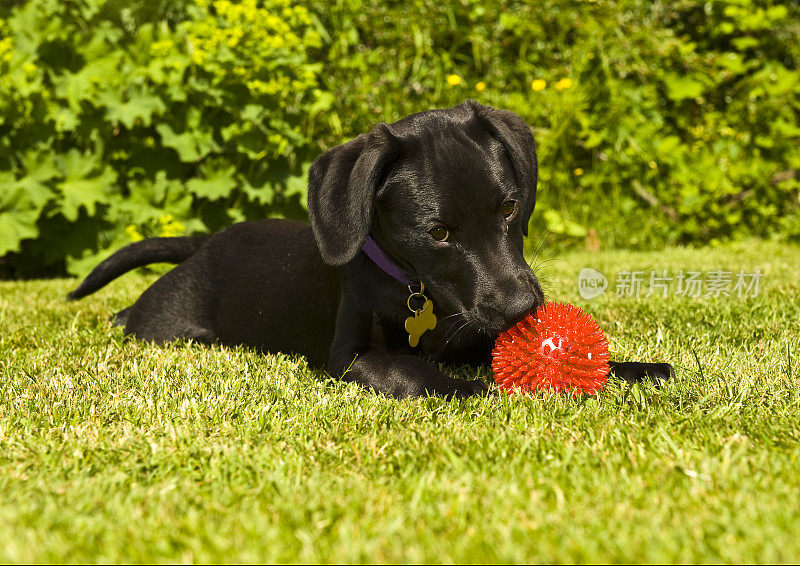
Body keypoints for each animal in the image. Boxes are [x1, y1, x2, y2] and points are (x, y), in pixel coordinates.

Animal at [69, 100, 672, 398]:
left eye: (507, 208)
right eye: (437, 233)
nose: (522, 309)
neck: (416, 294)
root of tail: (208, 240)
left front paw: (636, 370)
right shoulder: (352, 359)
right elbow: (420, 375)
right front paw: (481, 389)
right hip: (170, 322)